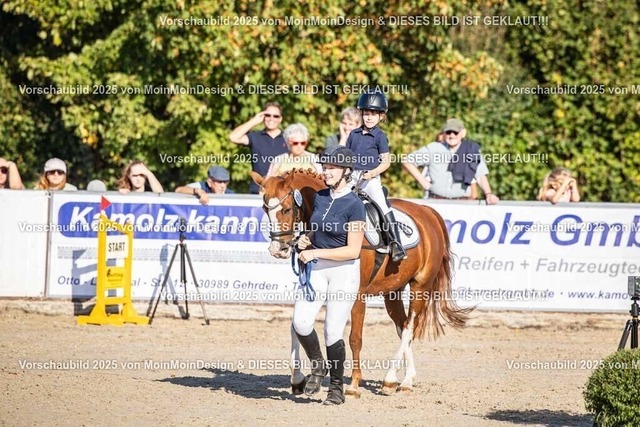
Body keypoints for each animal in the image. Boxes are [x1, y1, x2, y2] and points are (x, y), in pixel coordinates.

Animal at [251, 168, 471, 397]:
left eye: (286, 209)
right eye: (265, 209)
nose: (278, 250)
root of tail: (428, 212)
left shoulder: (357, 296)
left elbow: (355, 338)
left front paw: (354, 385)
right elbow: (296, 326)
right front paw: (298, 379)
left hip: (420, 286)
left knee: (409, 326)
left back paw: (391, 379)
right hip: (392, 292)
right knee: (402, 327)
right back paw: (406, 379)